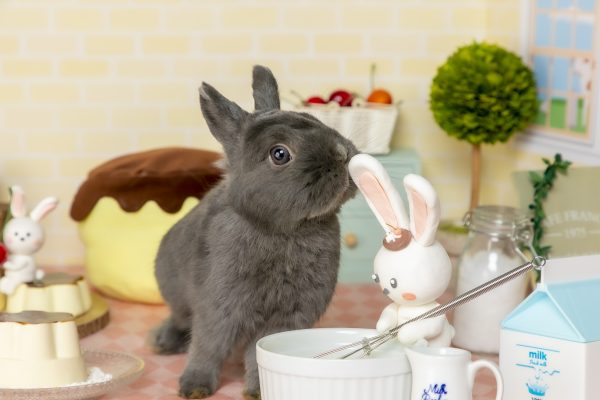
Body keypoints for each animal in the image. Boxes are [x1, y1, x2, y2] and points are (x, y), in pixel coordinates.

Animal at [154, 66, 356, 400]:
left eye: (313, 119)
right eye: (280, 154)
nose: (343, 154)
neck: (282, 231)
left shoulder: (286, 317)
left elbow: (258, 355)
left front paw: (258, 391)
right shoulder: (218, 307)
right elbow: (207, 346)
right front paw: (194, 387)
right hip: (178, 296)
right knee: (179, 320)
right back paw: (162, 343)